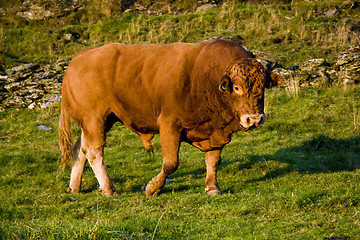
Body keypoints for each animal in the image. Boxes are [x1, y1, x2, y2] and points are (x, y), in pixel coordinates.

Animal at [59, 39, 282, 196]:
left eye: (263, 86)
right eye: (237, 88)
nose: (254, 119)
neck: (205, 77)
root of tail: (80, 57)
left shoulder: (216, 131)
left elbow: (213, 161)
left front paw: (212, 188)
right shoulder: (169, 125)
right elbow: (171, 163)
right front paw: (152, 188)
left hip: (95, 123)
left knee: (80, 149)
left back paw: (75, 188)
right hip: (95, 120)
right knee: (94, 151)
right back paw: (109, 189)